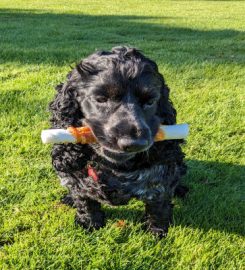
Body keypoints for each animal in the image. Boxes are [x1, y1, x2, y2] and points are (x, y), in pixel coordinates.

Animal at [49, 46, 188, 236]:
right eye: (101, 99)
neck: (115, 168)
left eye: (150, 101)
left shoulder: (160, 180)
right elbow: (84, 201)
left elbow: (158, 206)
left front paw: (156, 231)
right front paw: (89, 223)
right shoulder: (75, 179)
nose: (135, 143)